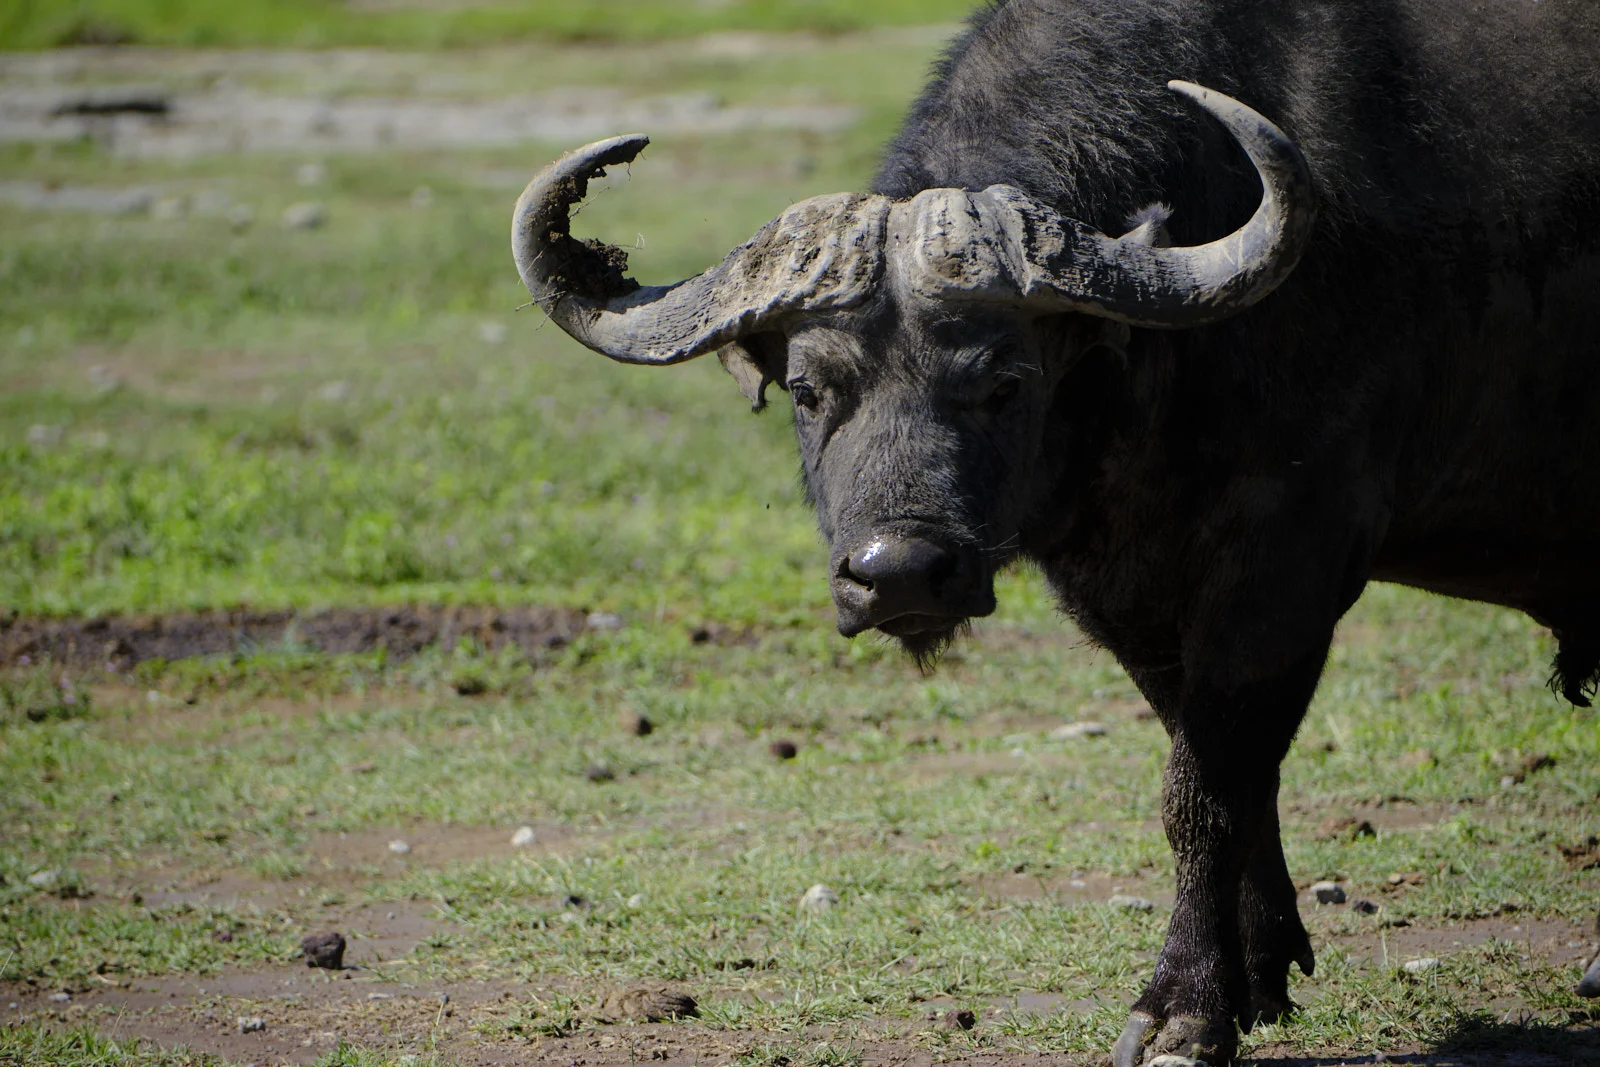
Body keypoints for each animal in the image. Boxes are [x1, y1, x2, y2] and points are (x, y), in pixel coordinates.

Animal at [511, 1, 1600, 1062]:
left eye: (1004, 380)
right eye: (811, 389)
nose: (898, 574)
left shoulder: (1286, 565)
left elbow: (1204, 791)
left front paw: (1182, 1010)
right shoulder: (1129, 593)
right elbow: (1235, 778)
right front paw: (1256, 970)